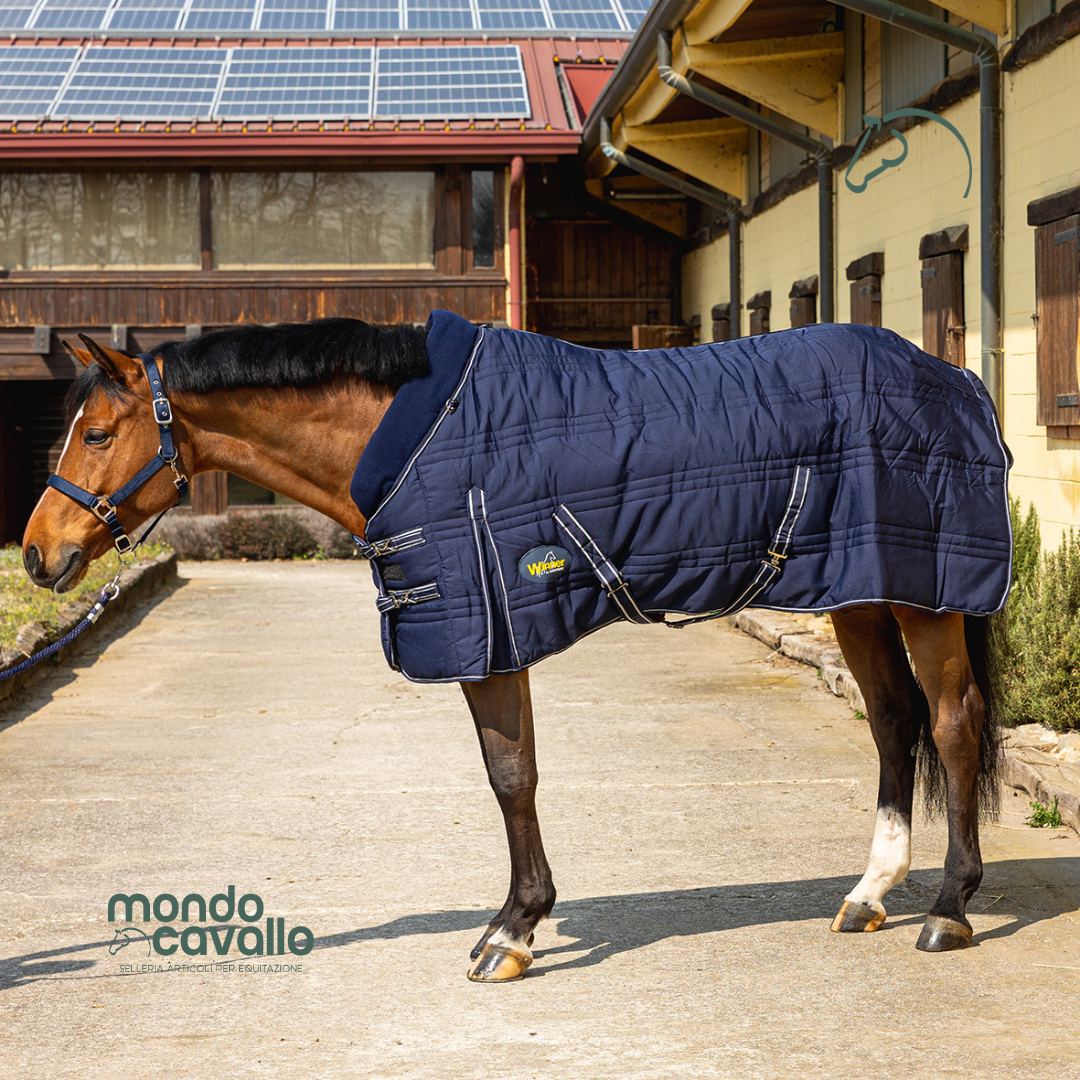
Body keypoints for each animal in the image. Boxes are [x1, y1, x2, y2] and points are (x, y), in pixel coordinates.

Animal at [21, 314, 1009, 983]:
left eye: (98, 434)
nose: (37, 554)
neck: (420, 432)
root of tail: (954, 379)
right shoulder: (493, 631)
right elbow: (514, 774)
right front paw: (519, 920)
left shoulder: (489, 633)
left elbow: (511, 778)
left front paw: (512, 931)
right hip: (866, 591)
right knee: (892, 724)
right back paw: (870, 893)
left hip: (923, 599)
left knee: (952, 725)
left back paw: (949, 909)